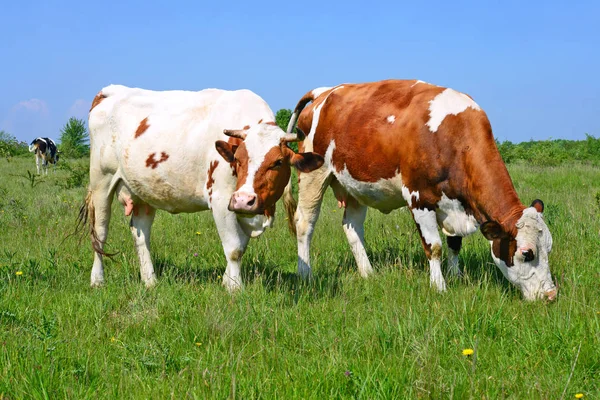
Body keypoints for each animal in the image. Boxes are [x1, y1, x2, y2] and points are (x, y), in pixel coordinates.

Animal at [83, 85, 324, 290]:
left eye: (278, 162)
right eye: (238, 159)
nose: (244, 199)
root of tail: (110, 90)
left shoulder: (244, 208)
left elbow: (241, 245)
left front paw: (227, 281)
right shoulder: (222, 200)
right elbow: (234, 248)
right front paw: (235, 288)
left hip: (142, 191)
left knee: (141, 234)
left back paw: (150, 281)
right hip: (101, 182)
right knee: (100, 232)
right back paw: (97, 280)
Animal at [226, 79, 556, 302]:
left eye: (549, 248)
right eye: (526, 253)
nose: (551, 295)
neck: (454, 135)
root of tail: (325, 91)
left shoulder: (454, 202)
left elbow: (454, 243)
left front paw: (457, 275)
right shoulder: (419, 198)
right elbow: (435, 246)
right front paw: (440, 287)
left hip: (354, 183)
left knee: (351, 227)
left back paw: (367, 272)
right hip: (314, 174)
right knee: (305, 224)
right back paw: (305, 273)